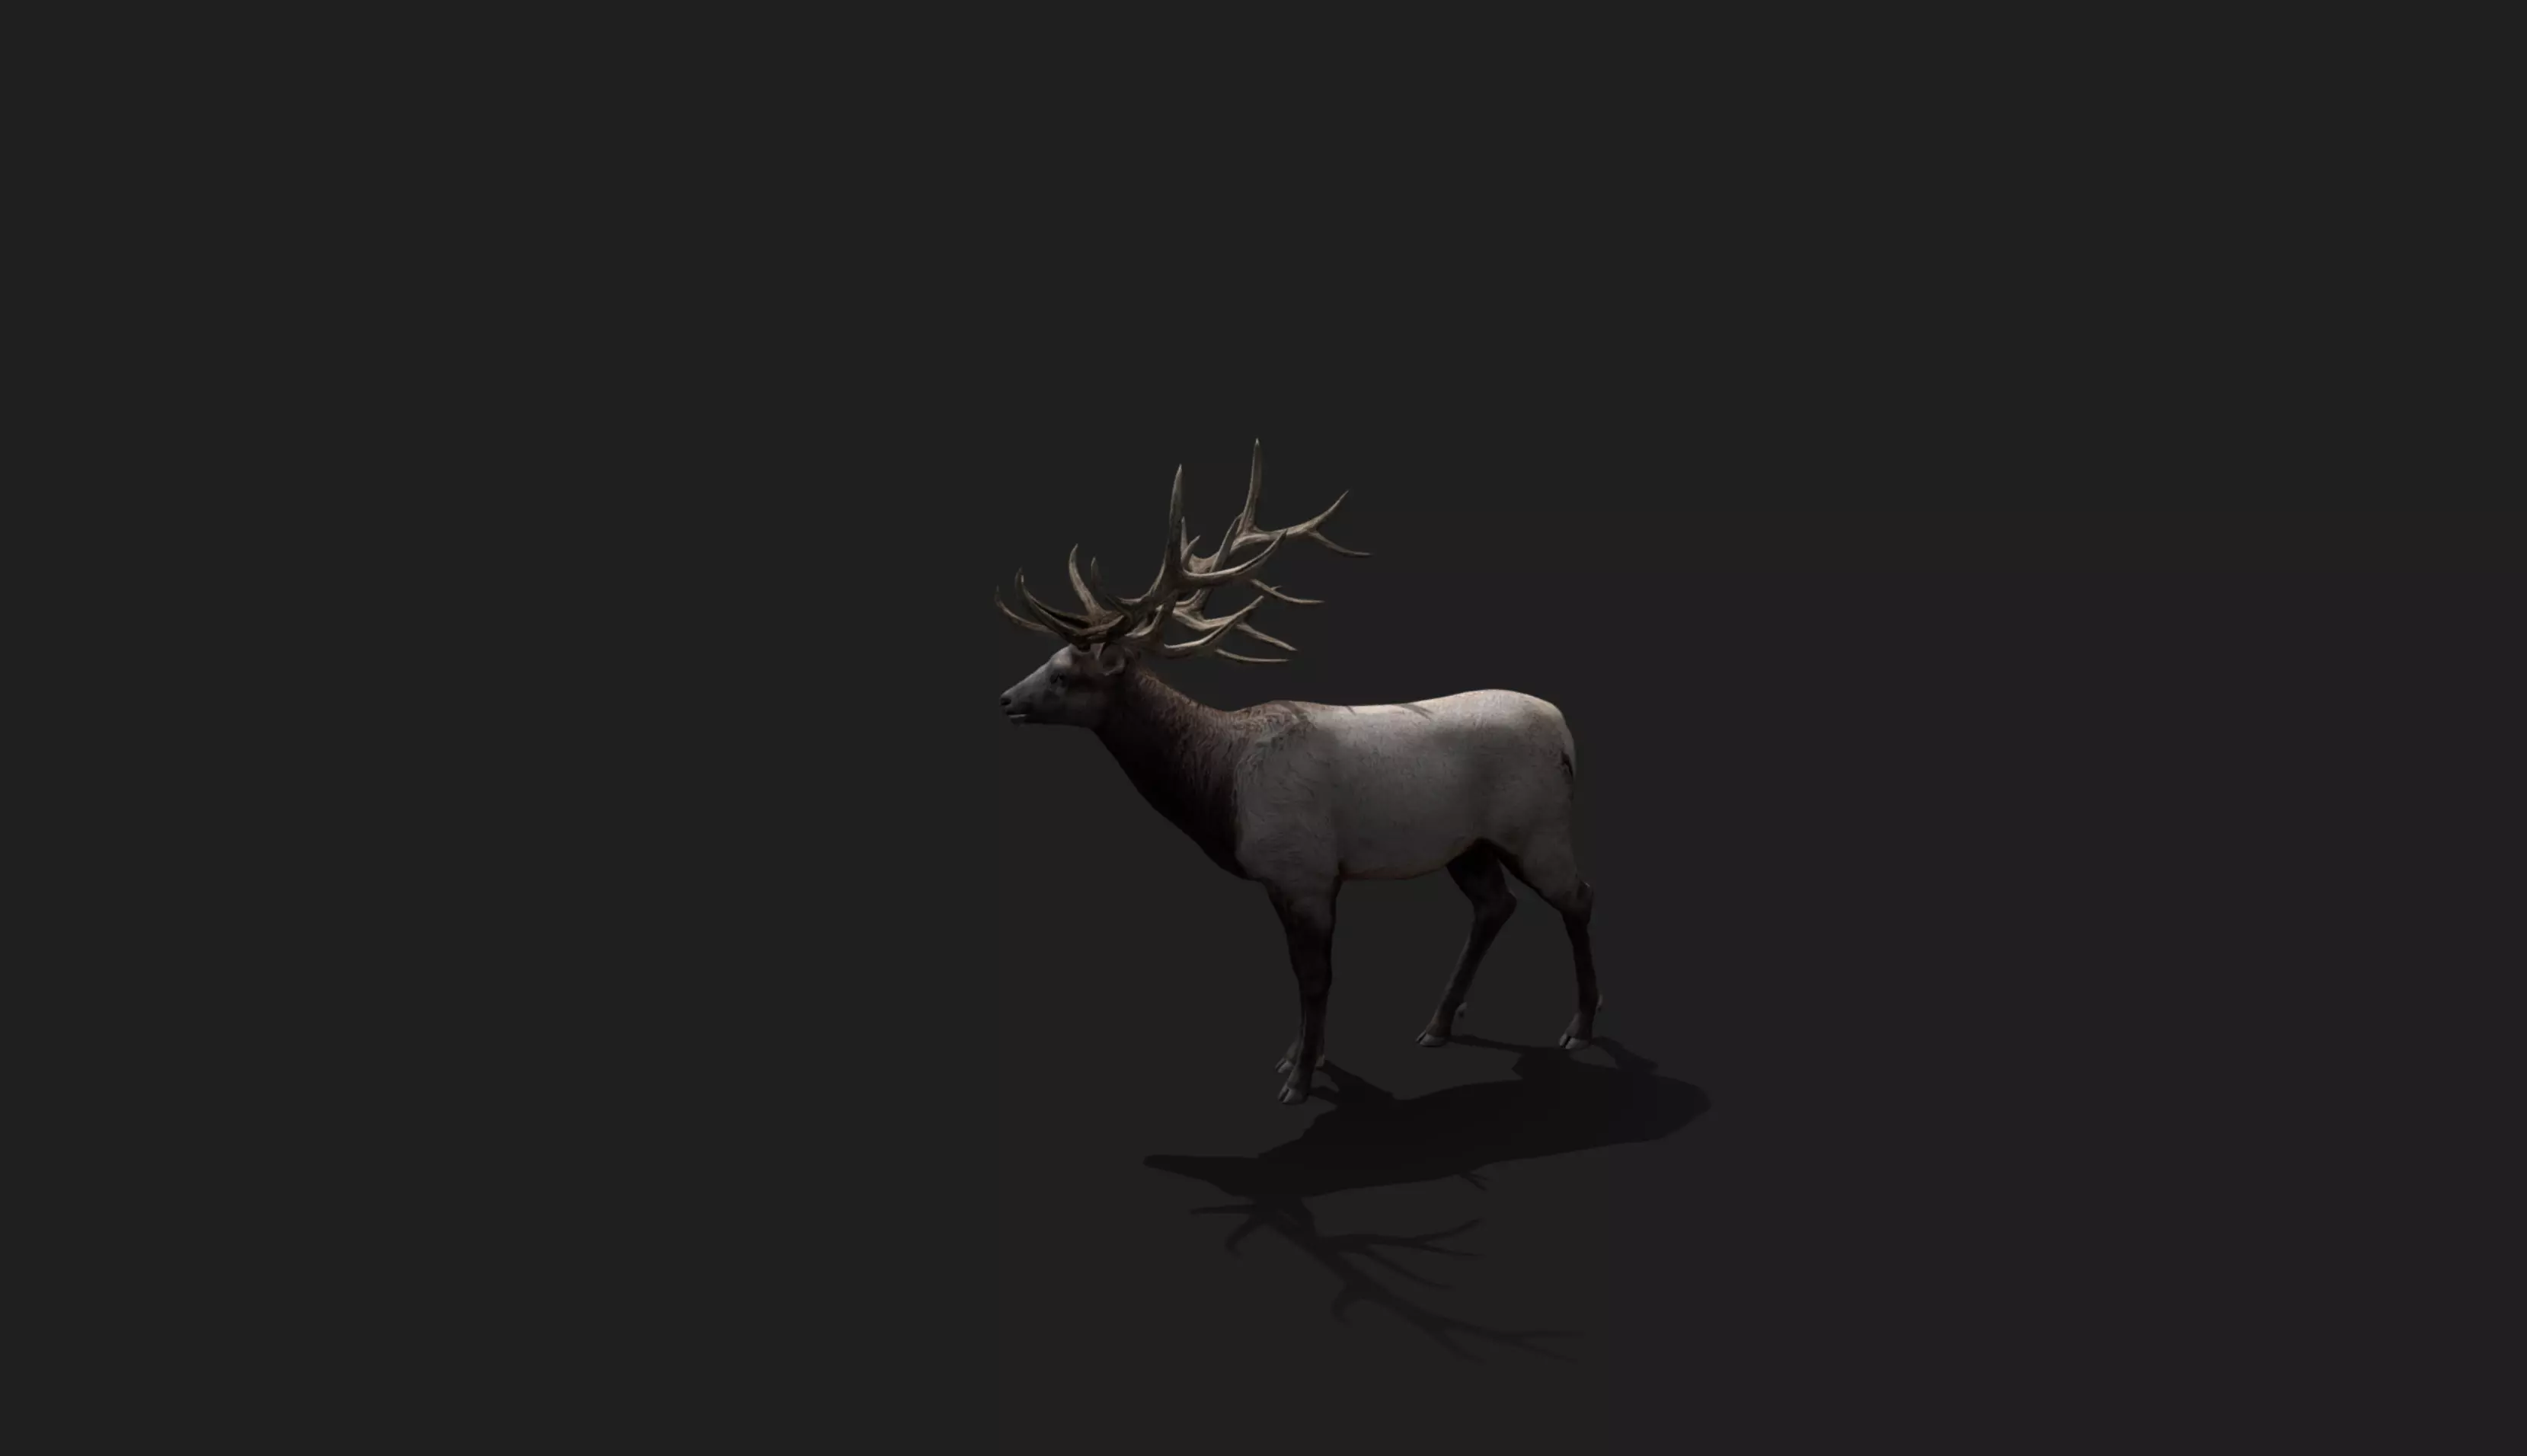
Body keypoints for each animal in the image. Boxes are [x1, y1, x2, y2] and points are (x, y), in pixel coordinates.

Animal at [995, 443, 1601, 1106]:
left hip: (1535, 828)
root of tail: (1565, 733)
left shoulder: (1303, 870)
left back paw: (1580, 1028)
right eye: (1047, 661)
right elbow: (1303, 976)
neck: (1219, 785)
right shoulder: (1293, 880)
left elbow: (1315, 977)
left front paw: (1302, 1080)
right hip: (1468, 846)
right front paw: (1296, 1057)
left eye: (1063, 676)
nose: (1004, 699)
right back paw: (1439, 1025)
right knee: (1496, 905)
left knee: (1577, 897)